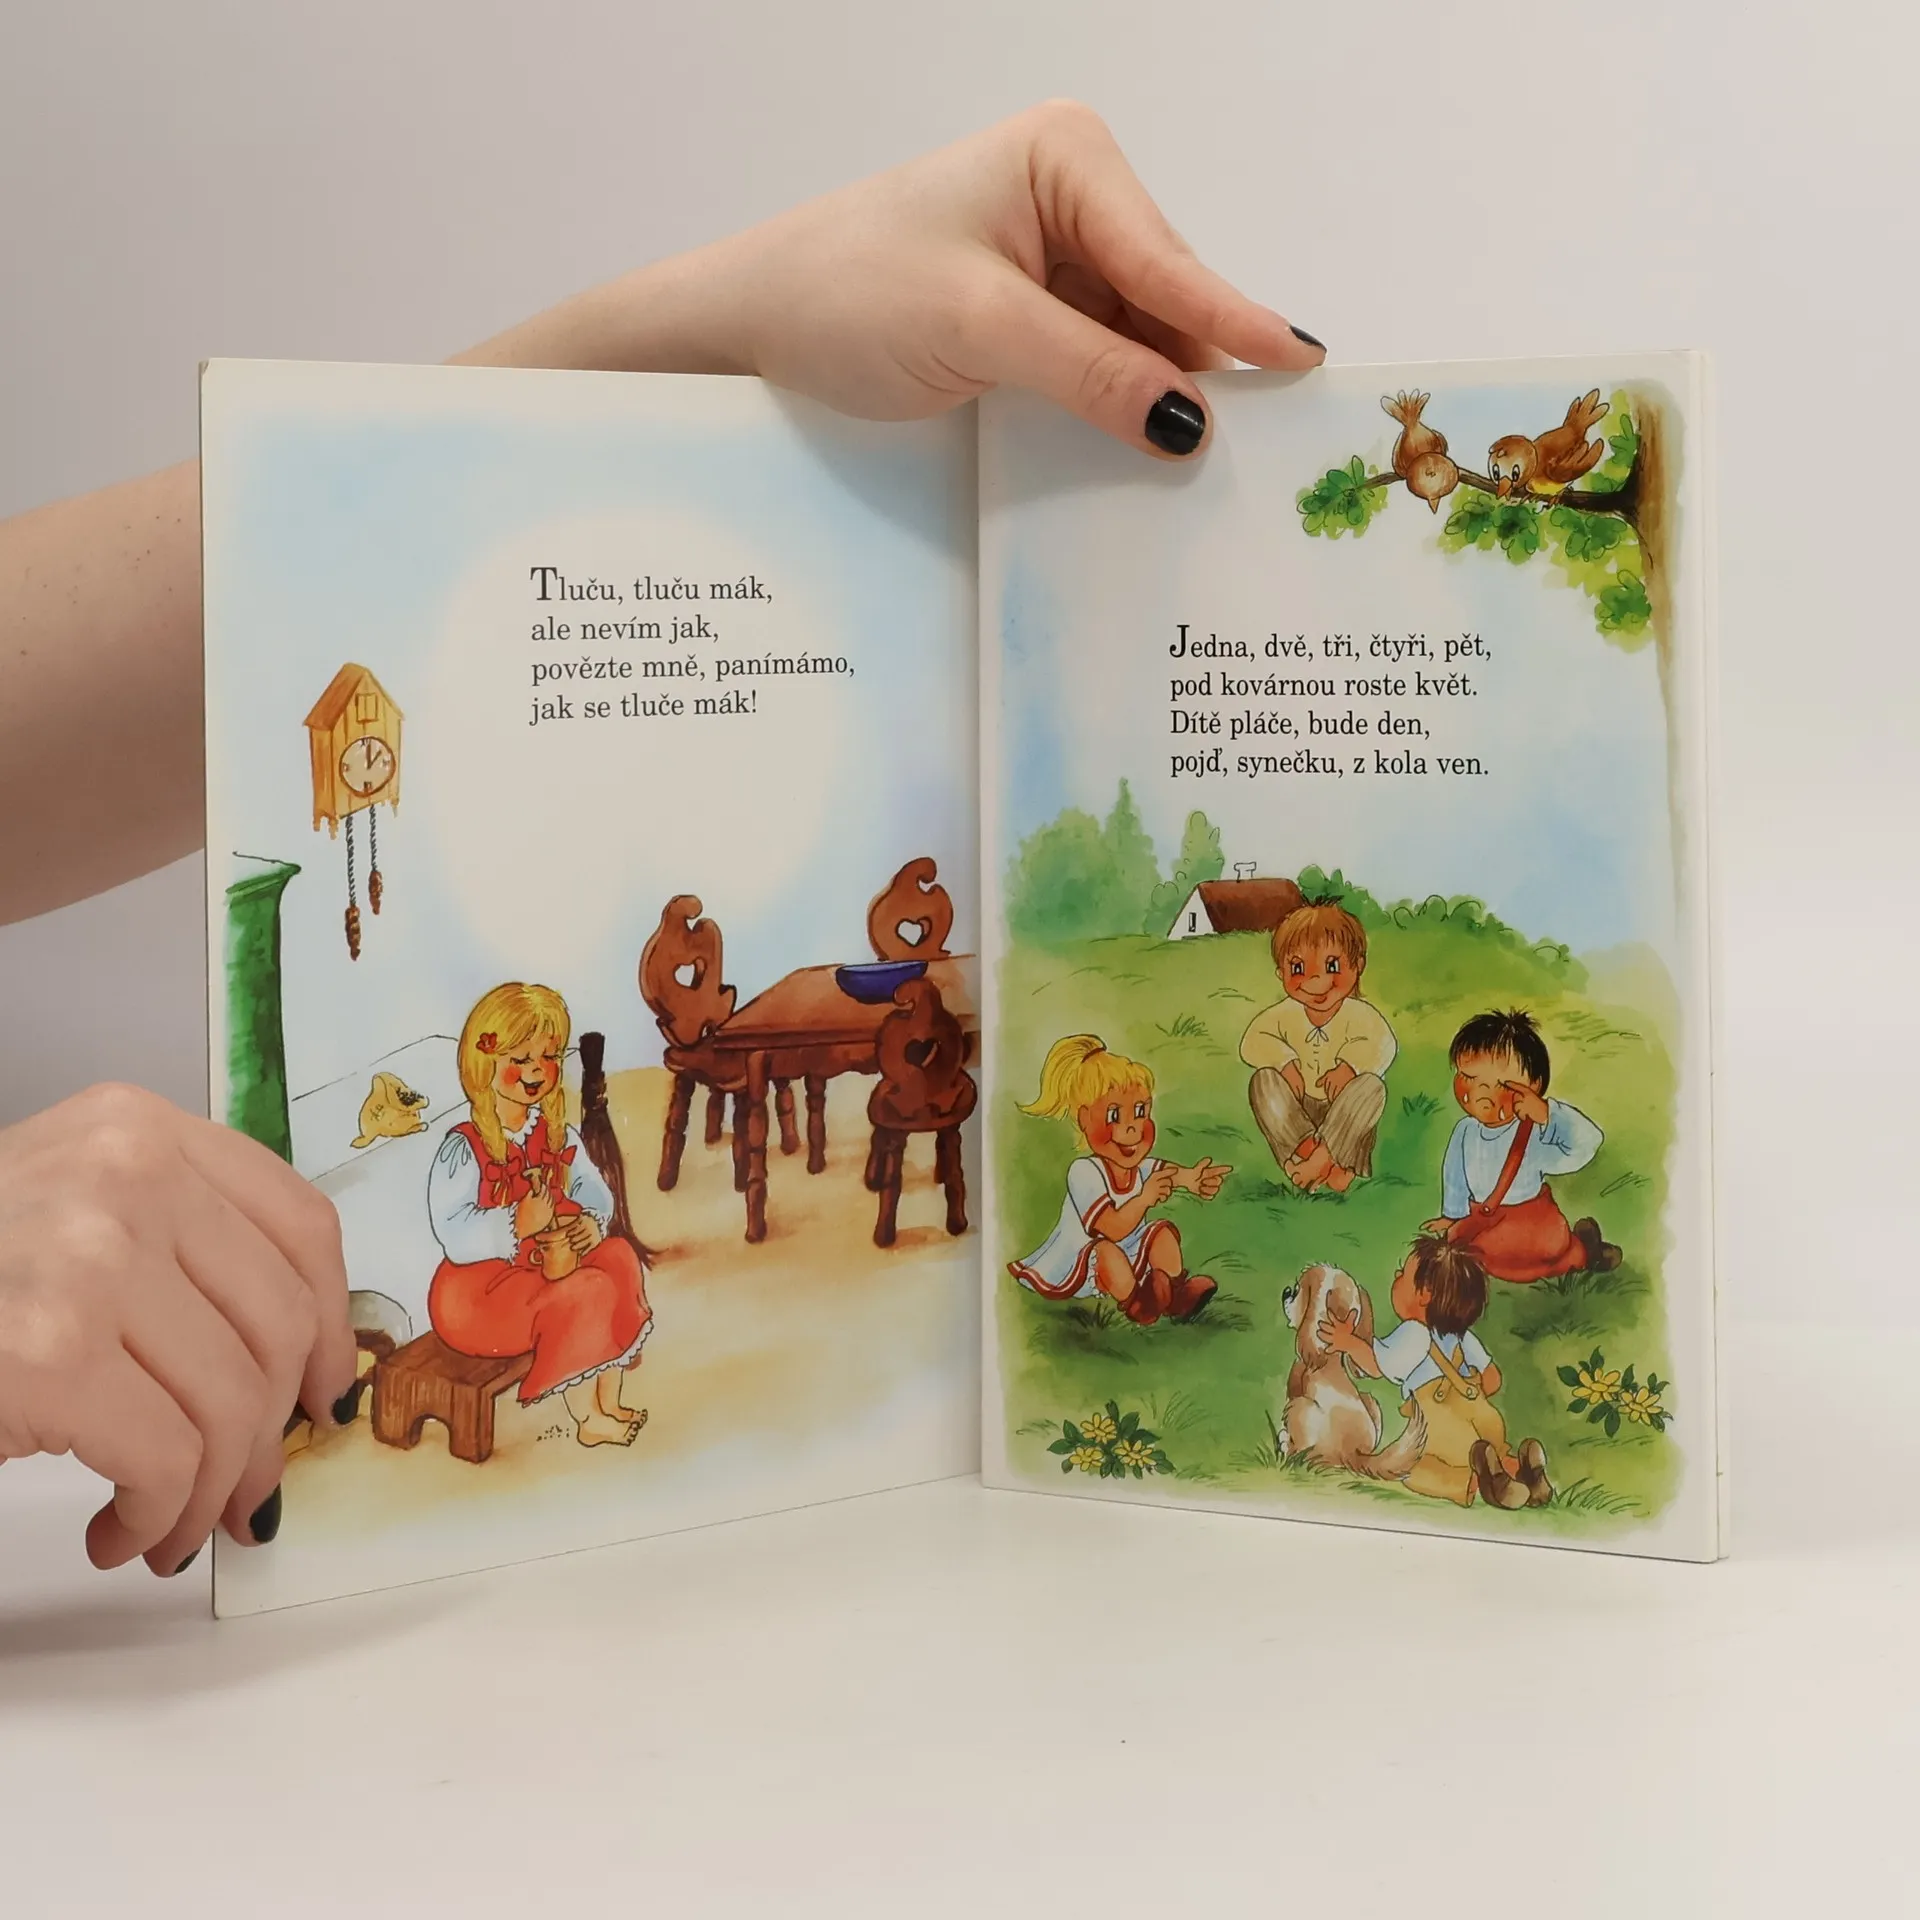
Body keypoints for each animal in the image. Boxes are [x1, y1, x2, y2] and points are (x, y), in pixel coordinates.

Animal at [1278, 1262, 1425, 1478]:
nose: (1286, 1291)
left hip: (1301, 1407)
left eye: (1297, 1291)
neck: (1328, 1356)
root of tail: (1352, 1454)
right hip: (1371, 1402)